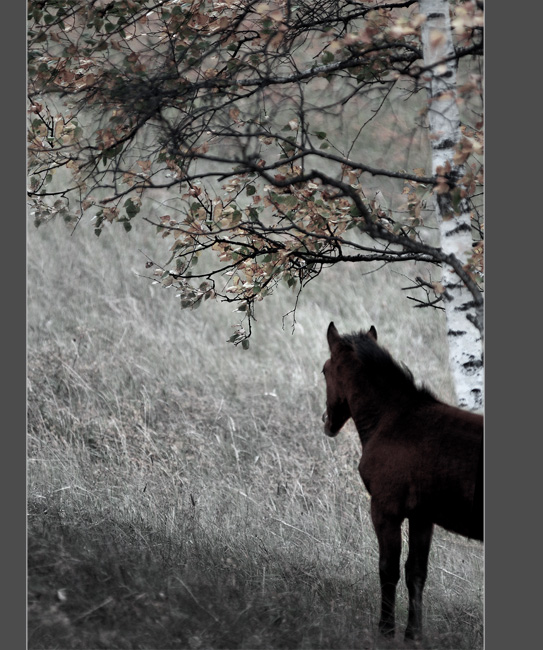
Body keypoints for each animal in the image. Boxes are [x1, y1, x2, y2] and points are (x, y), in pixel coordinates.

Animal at [320, 320, 482, 636]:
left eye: (324, 370)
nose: (327, 422)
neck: (393, 419)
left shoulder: (385, 510)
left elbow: (388, 570)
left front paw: (385, 629)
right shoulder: (422, 517)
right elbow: (416, 572)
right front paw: (413, 634)